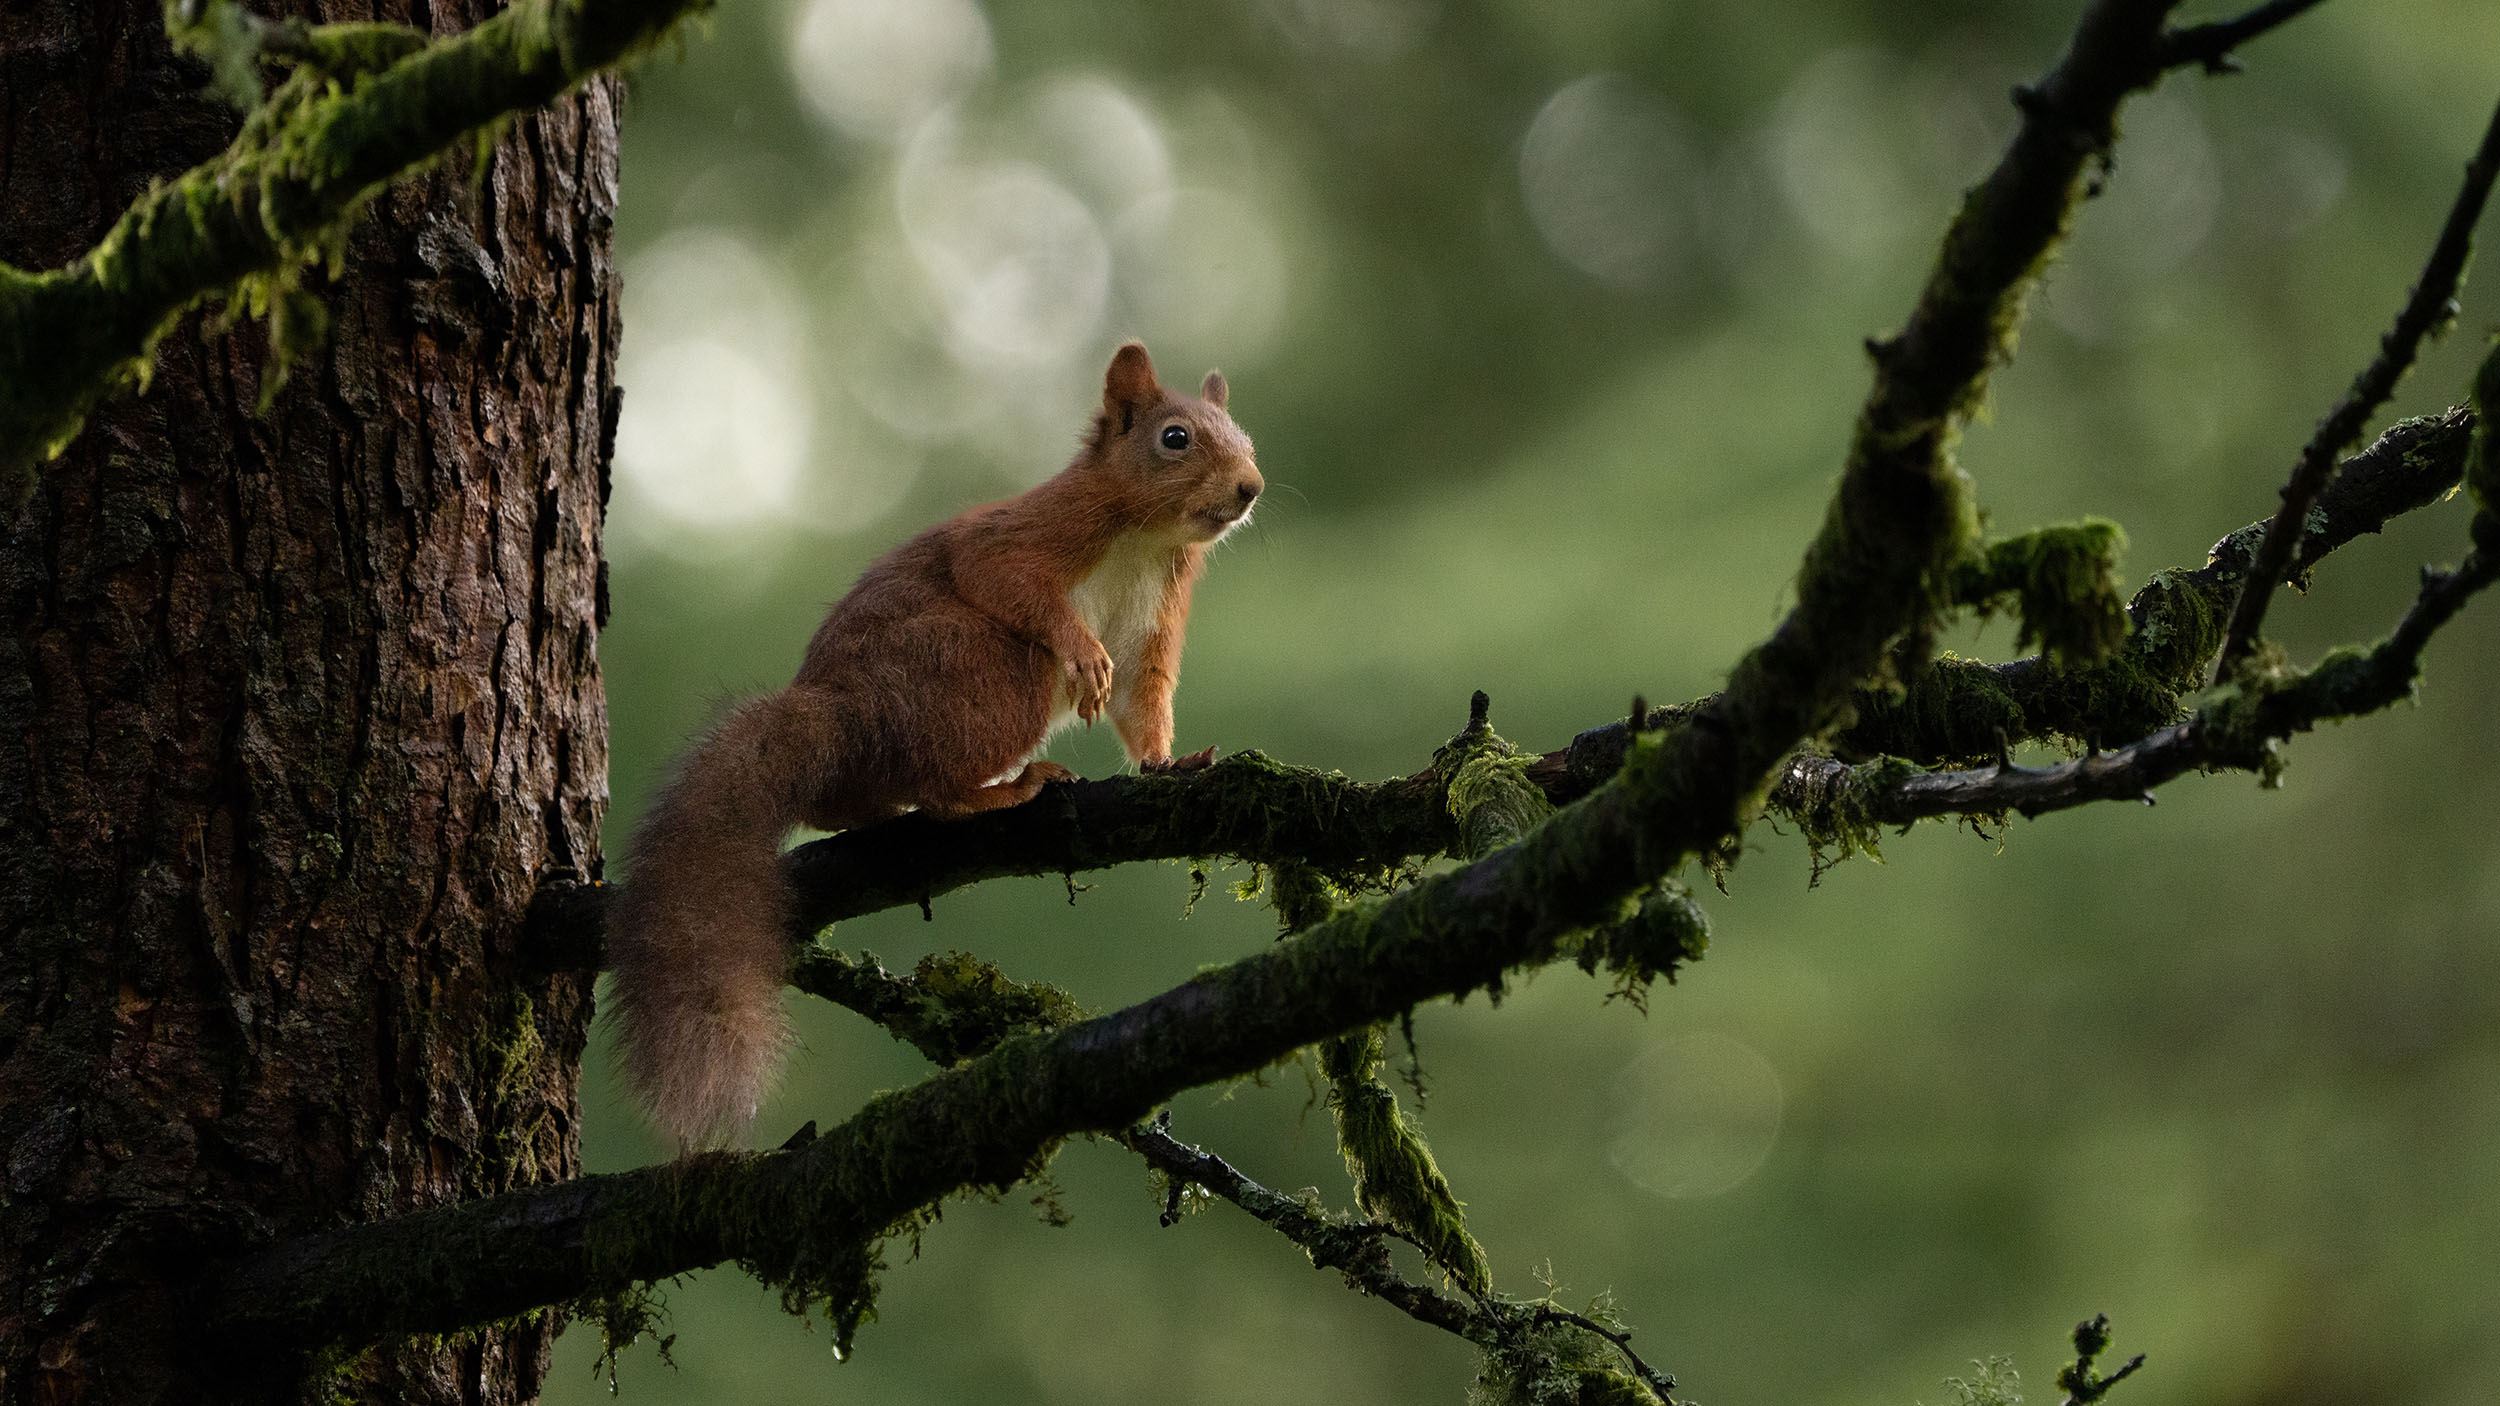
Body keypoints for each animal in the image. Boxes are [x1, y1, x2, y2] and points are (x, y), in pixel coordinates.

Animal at [606, 342, 1263, 1150]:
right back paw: (1009, 786)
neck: (1147, 536)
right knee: (941, 791)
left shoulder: (1156, 622)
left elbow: (1146, 698)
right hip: (986, 672)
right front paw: (1082, 652)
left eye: (1247, 439)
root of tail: (842, 715)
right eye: (1175, 438)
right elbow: (999, 573)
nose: (1251, 488)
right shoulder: (1036, 530)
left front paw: (1167, 761)